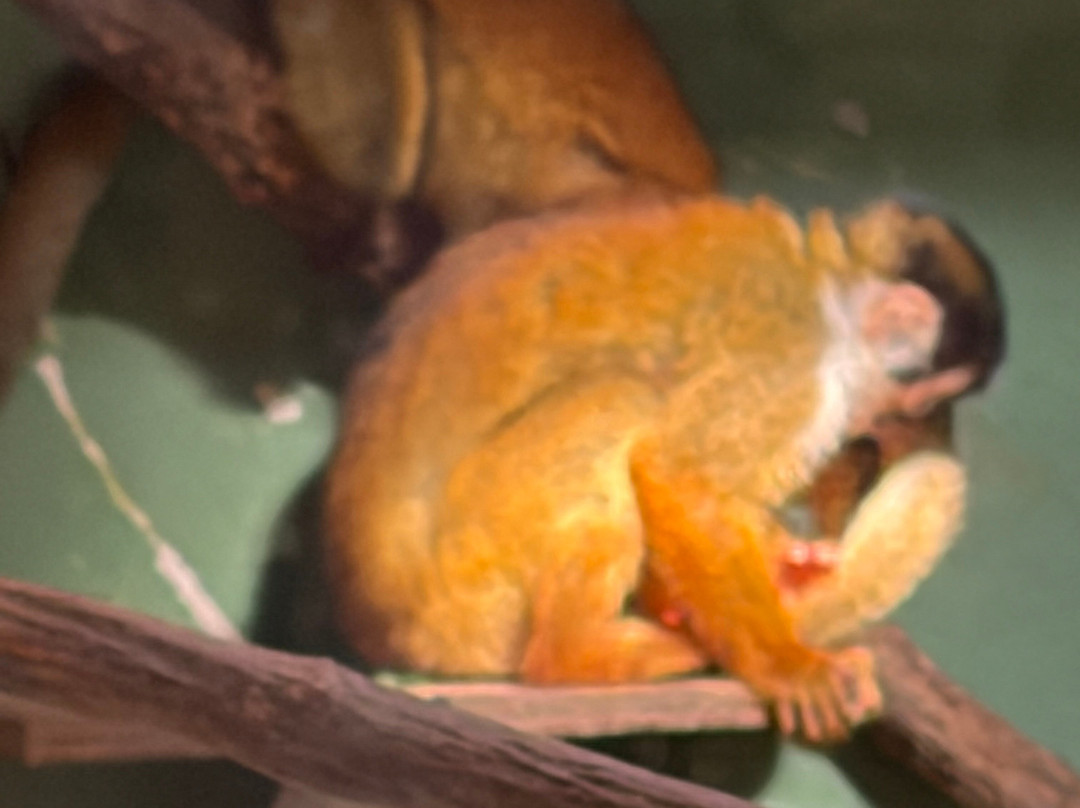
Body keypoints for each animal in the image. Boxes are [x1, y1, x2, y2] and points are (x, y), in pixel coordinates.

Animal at [323, 194, 1005, 742]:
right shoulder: (790, 362)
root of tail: (390, 632)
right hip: (471, 578)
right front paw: (788, 666)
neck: (833, 299)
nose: (935, 427)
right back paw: (580, 656)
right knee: (625, 395)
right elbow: (683, 475)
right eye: (928, 401)